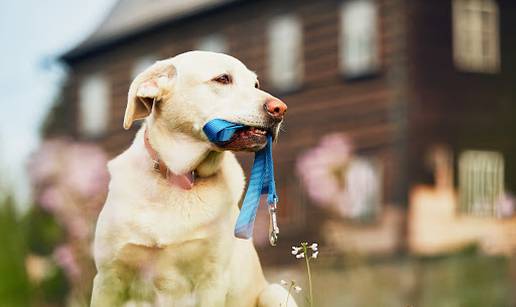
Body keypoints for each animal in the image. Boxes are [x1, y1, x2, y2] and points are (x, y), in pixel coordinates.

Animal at [90, 51, 296, 306]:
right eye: (223, 79)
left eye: (256, 84)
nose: (280, 109)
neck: (179, 176)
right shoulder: (108, 277)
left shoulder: (212, 280)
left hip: (274, 292)